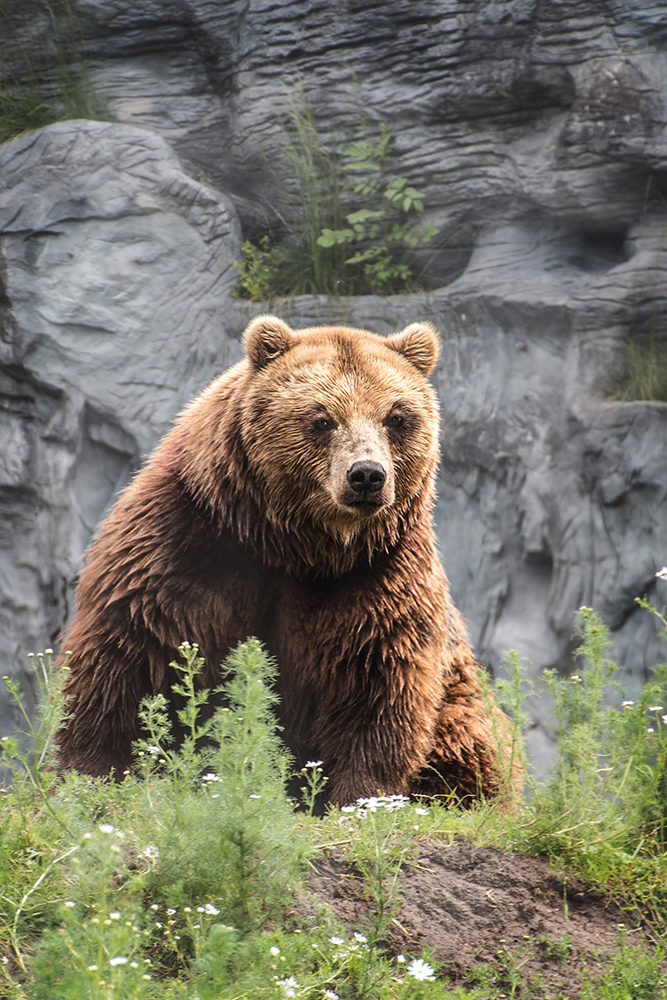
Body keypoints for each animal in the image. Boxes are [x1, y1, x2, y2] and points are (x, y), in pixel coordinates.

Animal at [57, 316, 516, 808]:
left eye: (396, 417)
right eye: (322, 418)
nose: (367, 475)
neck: (294, 544)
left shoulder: (377, 571)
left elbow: (377, 678)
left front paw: (360, 796)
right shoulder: (187, 541)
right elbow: (127, 646)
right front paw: (92, 773)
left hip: (464, 703)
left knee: (469, 744)